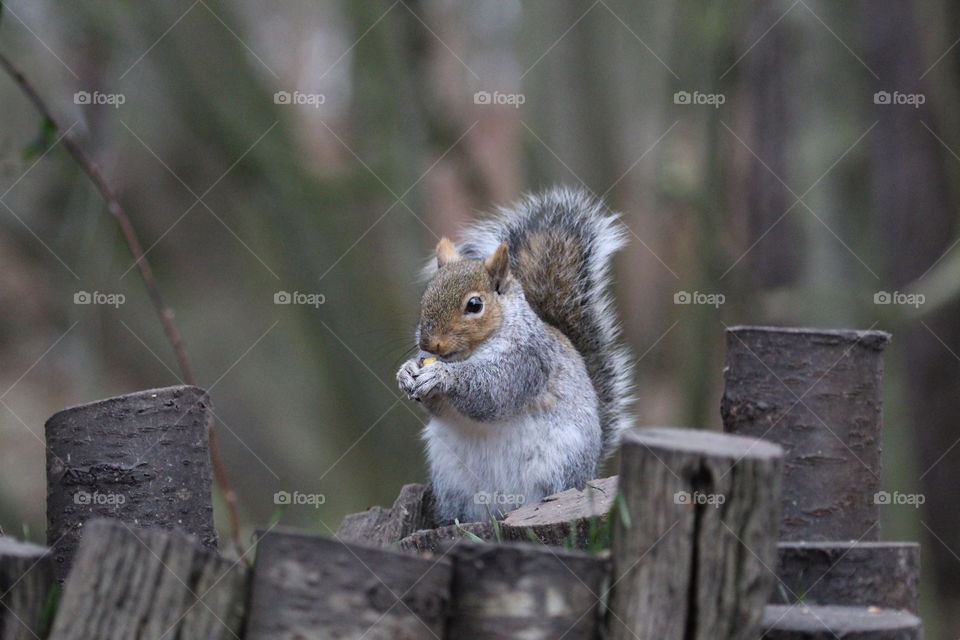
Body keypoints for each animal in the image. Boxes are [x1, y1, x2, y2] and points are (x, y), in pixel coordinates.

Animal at [394, 185, 632, 524]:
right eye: (426, 296)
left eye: (475, 305)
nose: (430, 344)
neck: (469, 353)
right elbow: (438, 408)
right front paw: (406, 372)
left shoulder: (528, 360)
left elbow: (494, 393)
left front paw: (442, 376)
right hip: (453, 485)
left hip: (557, 469)